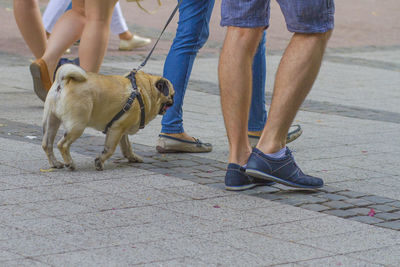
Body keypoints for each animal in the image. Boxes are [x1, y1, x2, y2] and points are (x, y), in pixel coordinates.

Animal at [41, 63, 174, 171]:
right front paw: (99, 162)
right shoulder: (116, 129)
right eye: (172, 95)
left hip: (51, 122)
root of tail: (62, 82)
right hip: (77, 126)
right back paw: (70, 163)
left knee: (47, 144)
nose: (173, 101)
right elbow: (109, 149)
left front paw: (132, 157)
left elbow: (127, 147)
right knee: (62, 145)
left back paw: (55, 163)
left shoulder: (122, 131)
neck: (143, 90)